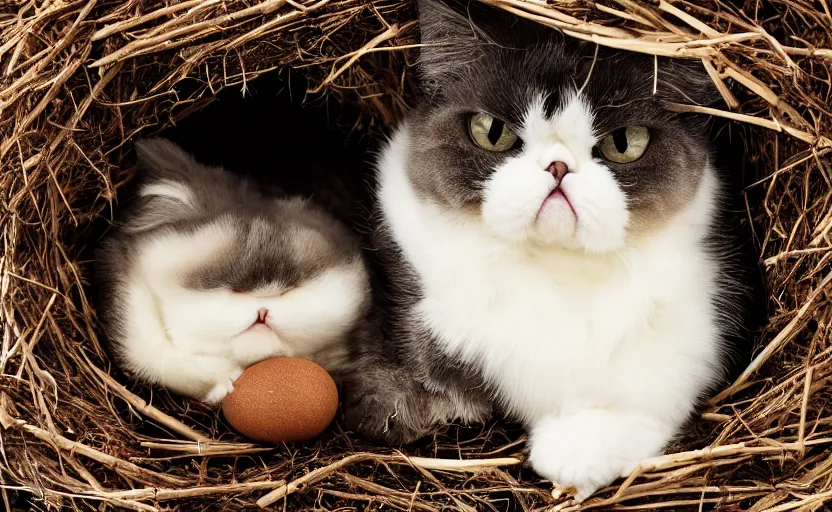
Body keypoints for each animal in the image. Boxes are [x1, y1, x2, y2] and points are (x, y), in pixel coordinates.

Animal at [342, 0, 744, 504]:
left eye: (624, 142)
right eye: (491, 131)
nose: (558, 167)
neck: (556, 268)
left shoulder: (696, 327)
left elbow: (642, 403)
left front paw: (574, 451)